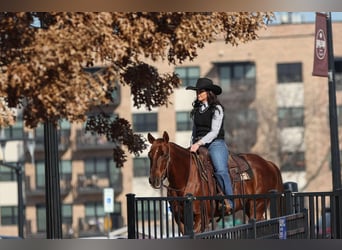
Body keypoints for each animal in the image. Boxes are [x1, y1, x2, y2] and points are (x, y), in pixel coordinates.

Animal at [147, 131, 284, 234]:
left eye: (164, 154)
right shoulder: (179, 219)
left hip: (258, 206)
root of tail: (269, 164)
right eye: (149, 155)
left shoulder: (201, 218)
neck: (186, 180)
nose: (153, 179)